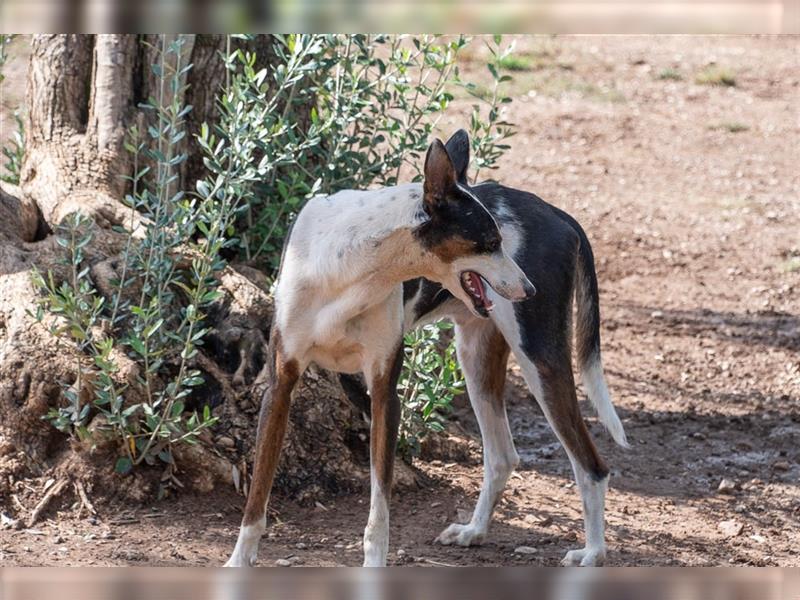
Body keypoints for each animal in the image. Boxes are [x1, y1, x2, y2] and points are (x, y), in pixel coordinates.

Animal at [223, 130, 624, 568]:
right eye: (489, 242)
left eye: (501, 240)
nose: (529, 288)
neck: (348, 271)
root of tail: (559, 214)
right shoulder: (281, 385)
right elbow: (257, 493)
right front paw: (239, 561)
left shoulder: (384, 391)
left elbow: (379, 510)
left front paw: (374, 567)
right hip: (476, 360)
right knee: (502, 457)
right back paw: (474, 532)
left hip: (539, 360)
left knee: (592, 466)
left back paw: (593, 552)